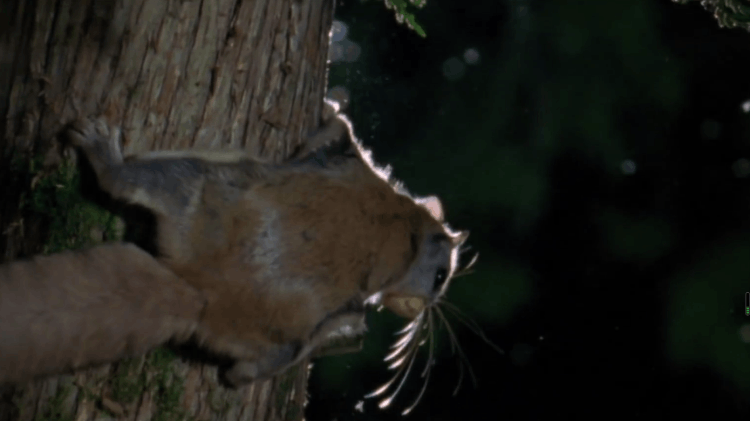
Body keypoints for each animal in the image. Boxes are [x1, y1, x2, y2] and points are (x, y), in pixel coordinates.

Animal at [0, 100, 478, 412]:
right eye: (441, 277)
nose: (432, 303)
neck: (409, 231)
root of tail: (200, 290)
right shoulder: (350, 165)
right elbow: (338, 131)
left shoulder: (339, 162)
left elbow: (336, 133)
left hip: (194, 183)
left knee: (123, 183)